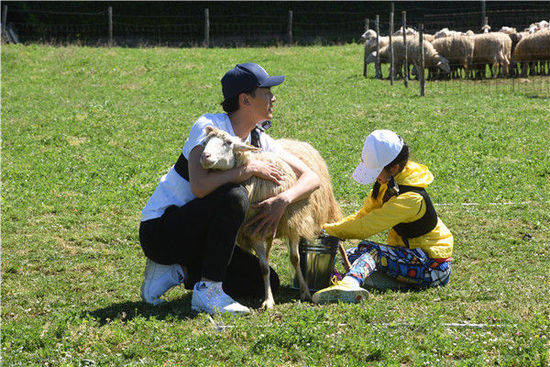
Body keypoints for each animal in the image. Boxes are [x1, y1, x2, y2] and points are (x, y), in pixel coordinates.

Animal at [201, 125, 342, 310]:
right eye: (204, 142)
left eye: (228, 142)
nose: (205, 156)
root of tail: (294, 141)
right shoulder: (253, 231)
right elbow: (264, 267)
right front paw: (268, 300)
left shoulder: (293, 224)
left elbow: (295, 259)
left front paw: (305, 292)